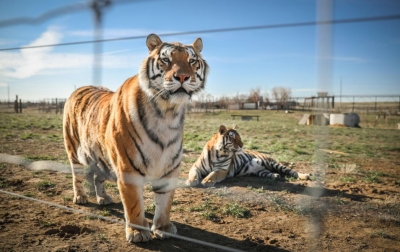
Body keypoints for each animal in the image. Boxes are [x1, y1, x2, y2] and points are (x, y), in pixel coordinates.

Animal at [62, 33, 209, 242]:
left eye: (192, 61)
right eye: (166, 60)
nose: (182, 76)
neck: (167, 113)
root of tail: (79, 88)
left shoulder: (169, 168)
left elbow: (165, 203)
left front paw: (163, 228)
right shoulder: (127, 167)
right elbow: (134, 204)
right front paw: (138, 232)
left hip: (101, 156)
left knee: (98, 177)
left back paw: (103, 198)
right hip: (73, 149)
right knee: (77, 176)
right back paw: (80, 197)